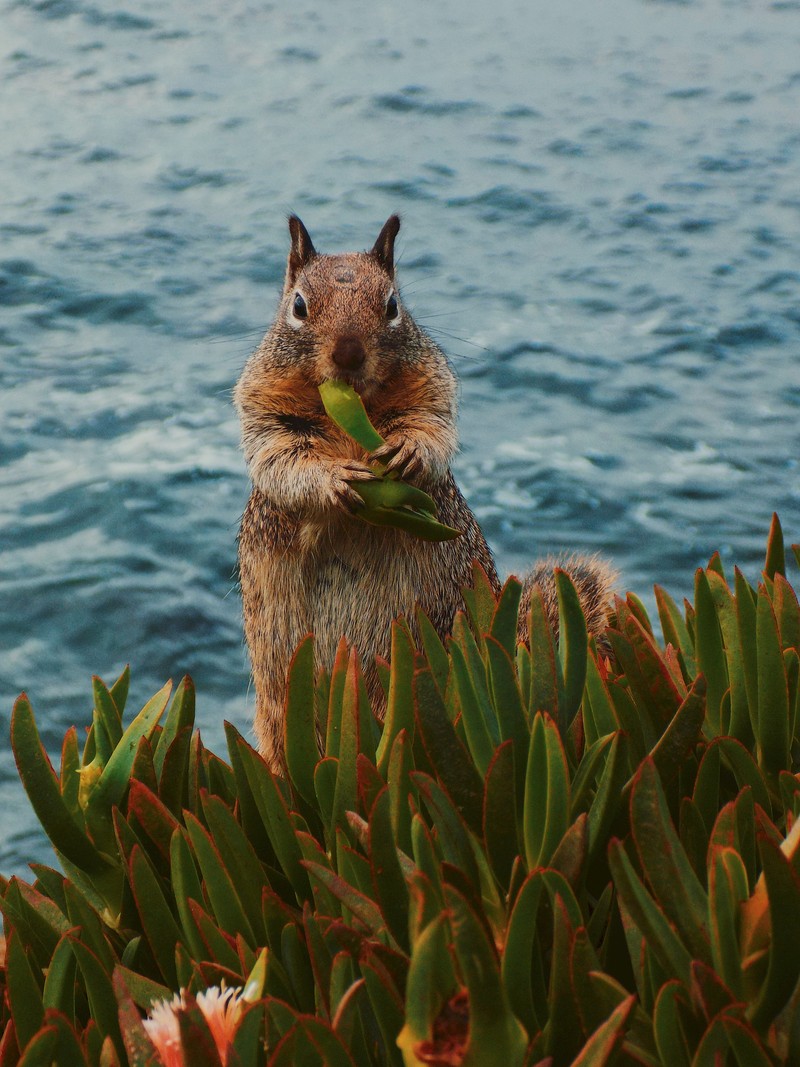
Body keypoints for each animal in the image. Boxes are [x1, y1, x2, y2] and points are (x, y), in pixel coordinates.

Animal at [234, 214, 618, 768]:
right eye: (299, 306)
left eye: (393, 305)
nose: (348, 352)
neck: (352, 413)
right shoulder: (264, 410)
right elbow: (280, 459)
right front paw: (334, 480)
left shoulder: (432, 389)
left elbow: (432, 429)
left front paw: (409, 453)